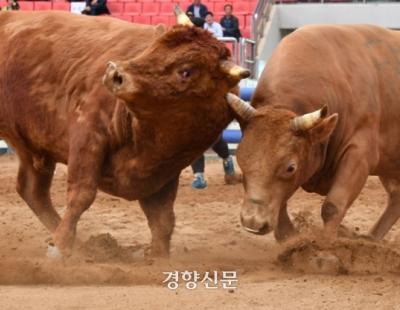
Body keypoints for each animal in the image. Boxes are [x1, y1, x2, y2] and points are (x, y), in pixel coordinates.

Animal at [0, 9, 250, 256]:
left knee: (32, 190)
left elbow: (163, 218)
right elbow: (81, 195)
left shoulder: (165, 170)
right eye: (153, 47)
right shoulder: (87, 136)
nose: (115, 73)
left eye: (186, 71)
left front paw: (158, 256)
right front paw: (59, 246)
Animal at [227, 24, 400, 241]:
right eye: (241, 159)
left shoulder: (359, 154)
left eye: (290, 167)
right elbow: (280, 207)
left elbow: (333, 206)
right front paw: (291, 240)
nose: (253, 222)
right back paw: (372, 239)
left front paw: (324, 245)